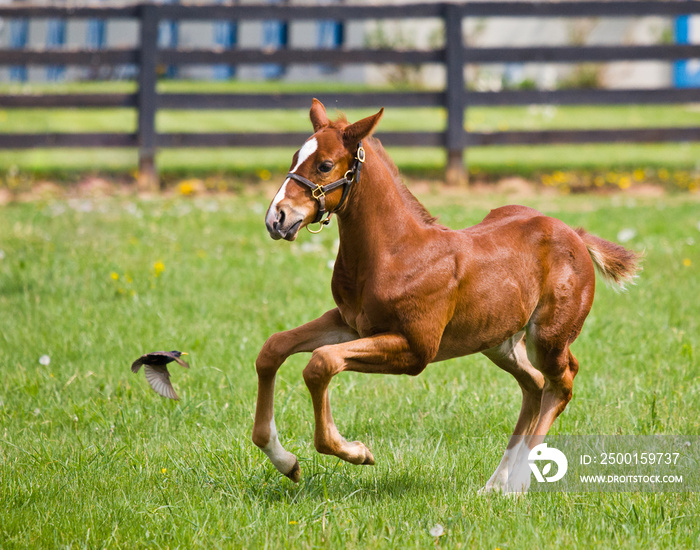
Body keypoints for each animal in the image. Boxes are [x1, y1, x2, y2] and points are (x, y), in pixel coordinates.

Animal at [253, 100, 640, 496]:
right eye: (295, 157)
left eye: (325, 165)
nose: (276, 218)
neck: (396, 252)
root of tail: (575, 233)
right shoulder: (349, 323)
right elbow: (273, 349)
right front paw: (284, 461)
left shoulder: (416, 349)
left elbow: (321, 362)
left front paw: (356, 452)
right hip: (499, 341)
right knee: (534, 383)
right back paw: (494, 484)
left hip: (547, 338)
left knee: (561, 383)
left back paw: (517, 483)